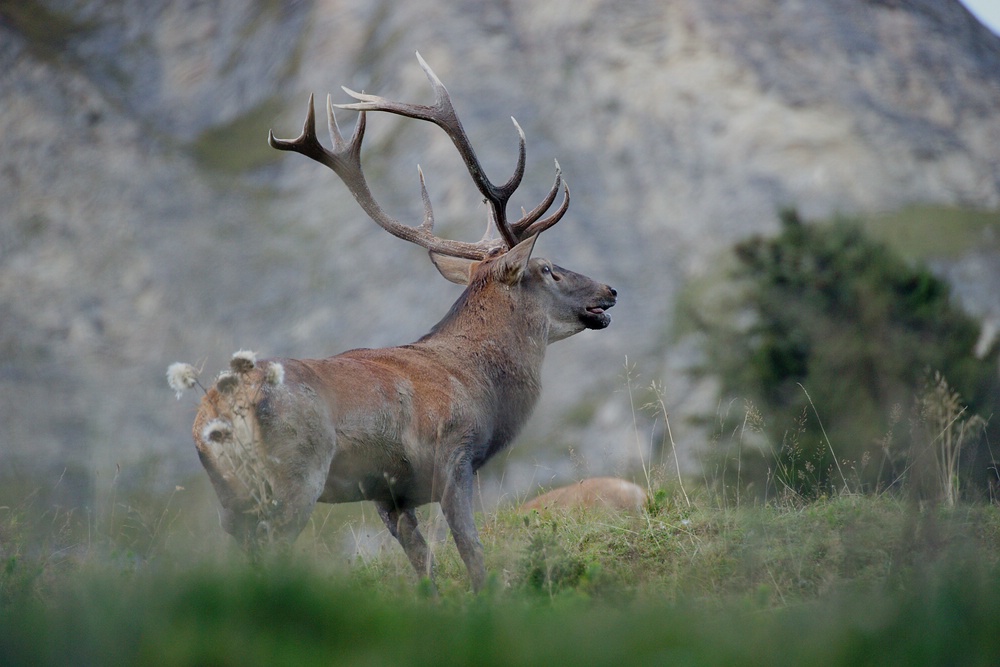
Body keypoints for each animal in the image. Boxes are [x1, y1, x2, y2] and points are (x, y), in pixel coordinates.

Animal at [175, 54, 612, 592]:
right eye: (548, 268)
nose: (609, 291)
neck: (480, 386)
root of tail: (217, 414)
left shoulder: (389, 493)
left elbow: (423, 565)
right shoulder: (454, 455)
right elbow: (471, 552)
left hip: (230, 499)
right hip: (294, 477)